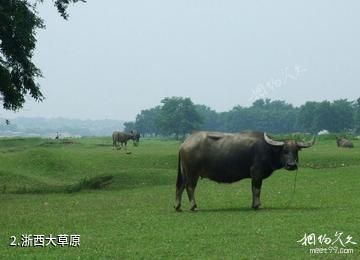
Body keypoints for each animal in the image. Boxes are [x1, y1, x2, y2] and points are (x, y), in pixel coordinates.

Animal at [174, 132, 316, 211]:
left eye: (296, 151)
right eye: (285, 151)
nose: (291, 165)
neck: (269, 150)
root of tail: (184, 143)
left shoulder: (254, 176)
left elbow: (253, 190)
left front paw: (253, 204)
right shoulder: (257, 173)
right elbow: (257, 190)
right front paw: (258, 205)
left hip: (185, 173)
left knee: (180, 187)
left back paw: (178, 206)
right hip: (192, 173)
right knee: (190, 188)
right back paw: (193, 206)